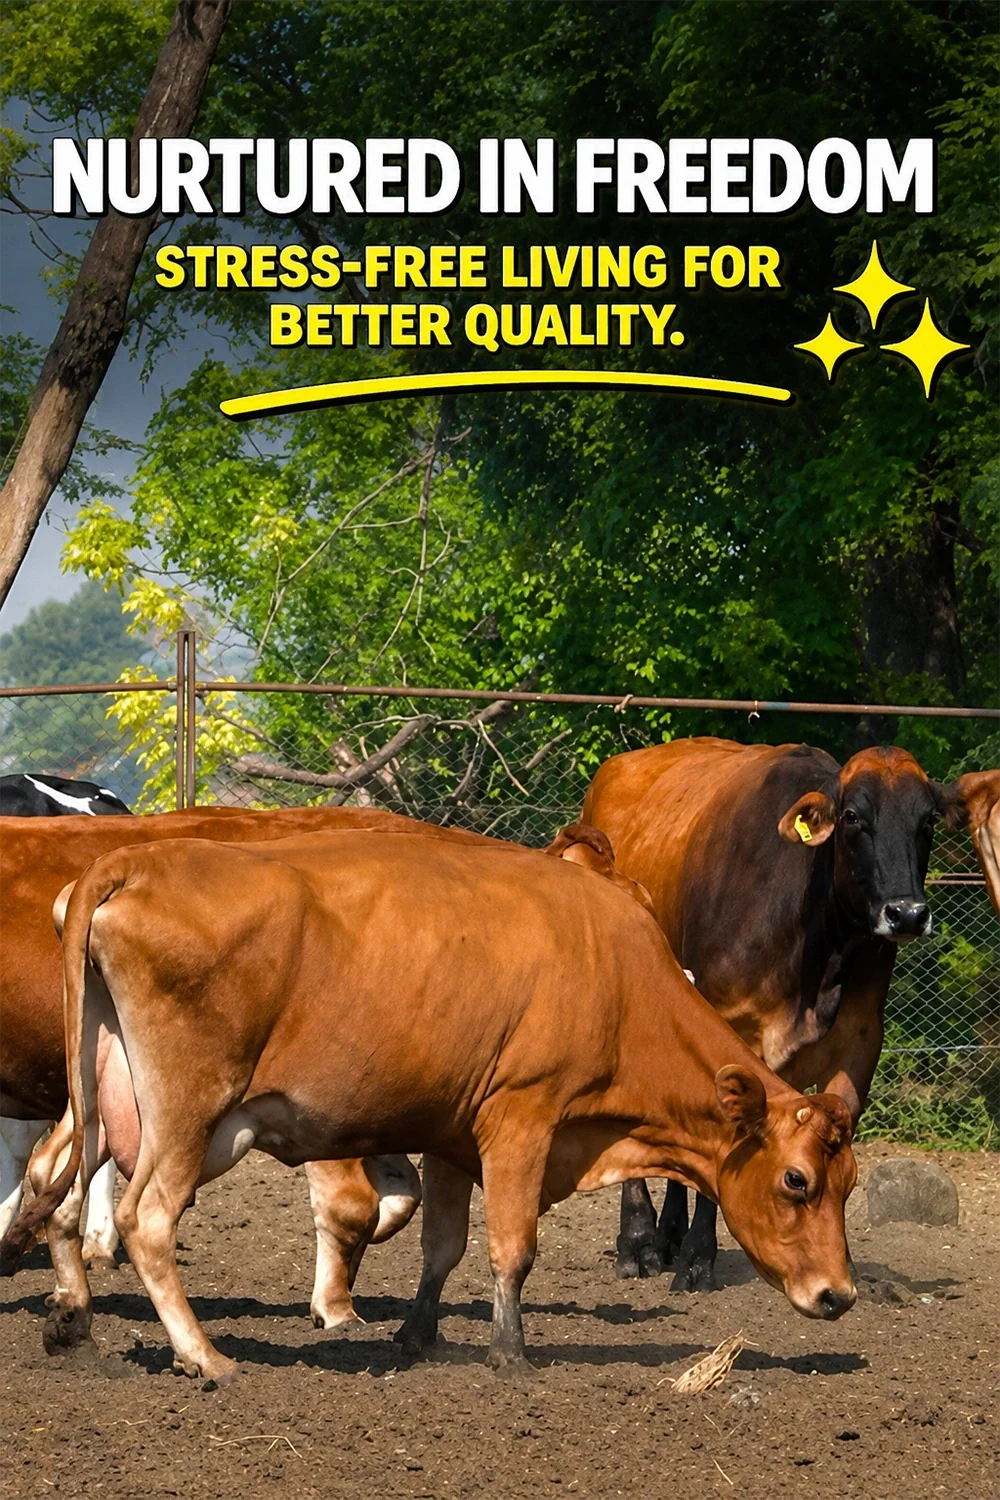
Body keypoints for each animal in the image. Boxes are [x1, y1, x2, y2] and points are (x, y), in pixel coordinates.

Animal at [14, 827, 858, 1384]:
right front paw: (511, 1353)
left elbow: (441, 1247)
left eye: (848, 1185)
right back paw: (204, 1356)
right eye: (796, 1181)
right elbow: (511, 1248)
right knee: (146, 1217)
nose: (839, 1295)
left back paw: (72, 1320)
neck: (614, 972)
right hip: (189, 1110)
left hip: (102, 1095)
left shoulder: (454, 1134)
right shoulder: (522, 1119)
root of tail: (135, 861)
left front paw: (418, 1334)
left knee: (58, 1189)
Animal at [581, 737, 946, 1290]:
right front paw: (698, 1257)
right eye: (853, 816)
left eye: (927, 820)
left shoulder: (862, 1038)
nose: (906, 913)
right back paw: (640, 1242)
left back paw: (668, 1234)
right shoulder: (731, 1026)